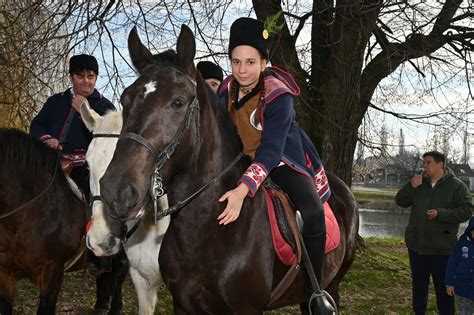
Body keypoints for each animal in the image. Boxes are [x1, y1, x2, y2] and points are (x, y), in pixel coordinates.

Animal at [100, 25, 358, 315]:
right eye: (125, 99)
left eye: (178, 102)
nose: (116, 190)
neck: (206, 228)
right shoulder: (183, 305)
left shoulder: (246, 308)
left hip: (332, 284)